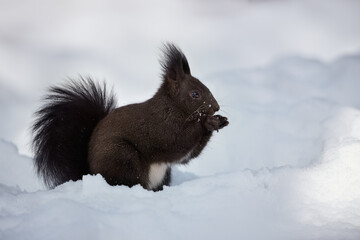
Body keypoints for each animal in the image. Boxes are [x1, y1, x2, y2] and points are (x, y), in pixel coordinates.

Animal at [31, 43, 228, 191]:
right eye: (195, 94)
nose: (216, 107)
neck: (173, 107)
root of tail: (90, 174)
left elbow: (187, 156)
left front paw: (219, 121)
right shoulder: (160, 126)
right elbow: (177, 141)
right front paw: (207, 122)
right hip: (123, 157)